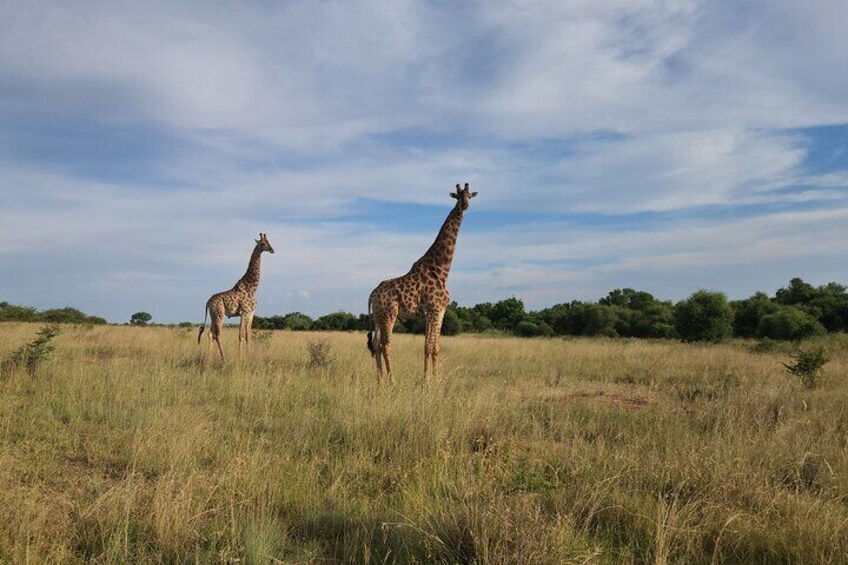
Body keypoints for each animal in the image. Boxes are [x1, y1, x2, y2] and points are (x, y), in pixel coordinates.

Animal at [197, 232, 274, 362]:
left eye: (270, 242)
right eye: (263, 243)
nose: (272, 250)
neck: (252, 287)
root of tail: (208, 302)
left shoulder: (251, 312)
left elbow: (248, 335)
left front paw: (249, 356)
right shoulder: (244, 311)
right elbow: (241, 335)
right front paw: (240, 358)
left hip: (213, 316)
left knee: (210, 334)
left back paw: (209, 358)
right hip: (219, 314)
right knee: (217, 334)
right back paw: (224, 359)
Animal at [368, 183, 480, 382]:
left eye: (469, 195)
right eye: (458, 195)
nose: (464, 205)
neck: (442, 270)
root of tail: (372, 294)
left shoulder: (440, 311)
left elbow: (436, 347)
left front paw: (436, 379)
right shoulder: (432, 310)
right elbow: (427, 346)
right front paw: (425, 381)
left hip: (378, 316)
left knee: (376, 343)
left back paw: (379, 379)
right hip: (390, 314)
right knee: (385, 345)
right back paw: (391, 380)